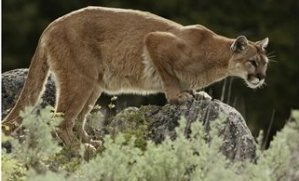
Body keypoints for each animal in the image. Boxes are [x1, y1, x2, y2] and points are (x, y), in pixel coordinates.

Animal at [1, 6, 270, 148]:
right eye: (252, 62)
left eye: (265, 64)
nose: (261, 77)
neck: (215, 58)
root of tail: (51, 24)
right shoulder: (155, 41)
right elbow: (168, 77)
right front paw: (179, 97)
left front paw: (197, 94)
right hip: (80, 79)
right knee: (61, 119)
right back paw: (80, 149)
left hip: (94, 84)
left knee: (78, 118)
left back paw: (91, 142)